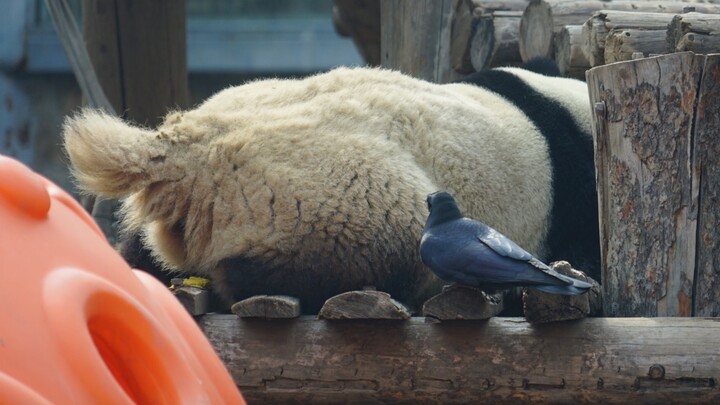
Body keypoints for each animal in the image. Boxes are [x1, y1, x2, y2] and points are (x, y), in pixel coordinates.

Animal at [64, 60, 600, 312]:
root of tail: (192, 150)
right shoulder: (572, 189)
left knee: (139, 252)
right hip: (334, 195)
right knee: (383, 243)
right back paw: (246, 279)